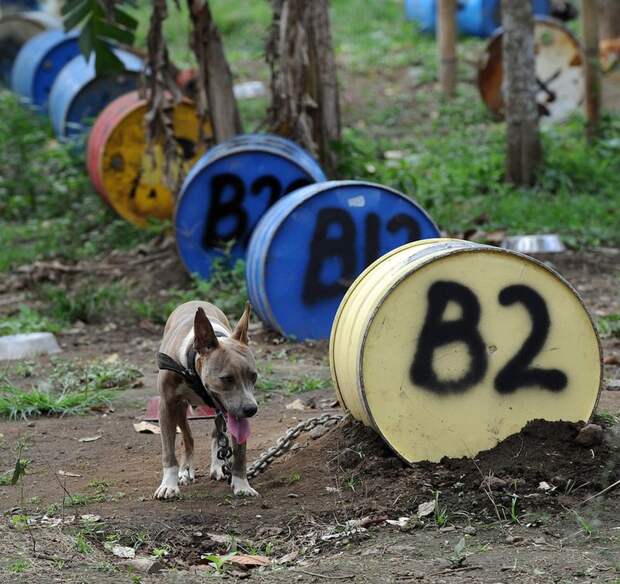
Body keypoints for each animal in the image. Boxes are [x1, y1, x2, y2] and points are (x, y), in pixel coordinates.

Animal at [156, 302, 260, 498]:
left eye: (254, 376)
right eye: (226, 378)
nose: (251, 409)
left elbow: (239, 451)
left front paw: (241, 484)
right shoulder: (167, 405)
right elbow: (168, 452)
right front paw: (169, 485)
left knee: (218, 435)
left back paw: (218, 466)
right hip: (180, 408)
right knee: (188, 437)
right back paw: (185, 470)